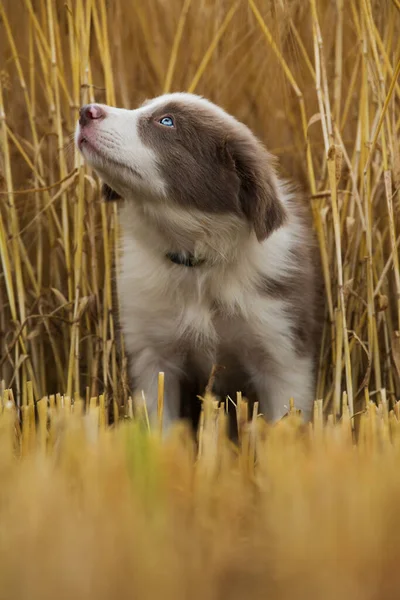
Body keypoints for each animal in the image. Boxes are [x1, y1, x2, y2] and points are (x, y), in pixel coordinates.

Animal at [76, 92, 322, 432]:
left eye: (166, 121)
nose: (85, 111)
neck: (195, 258)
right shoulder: (154, 353)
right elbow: (160, 422)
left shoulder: (282, 353)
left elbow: (284, 417)